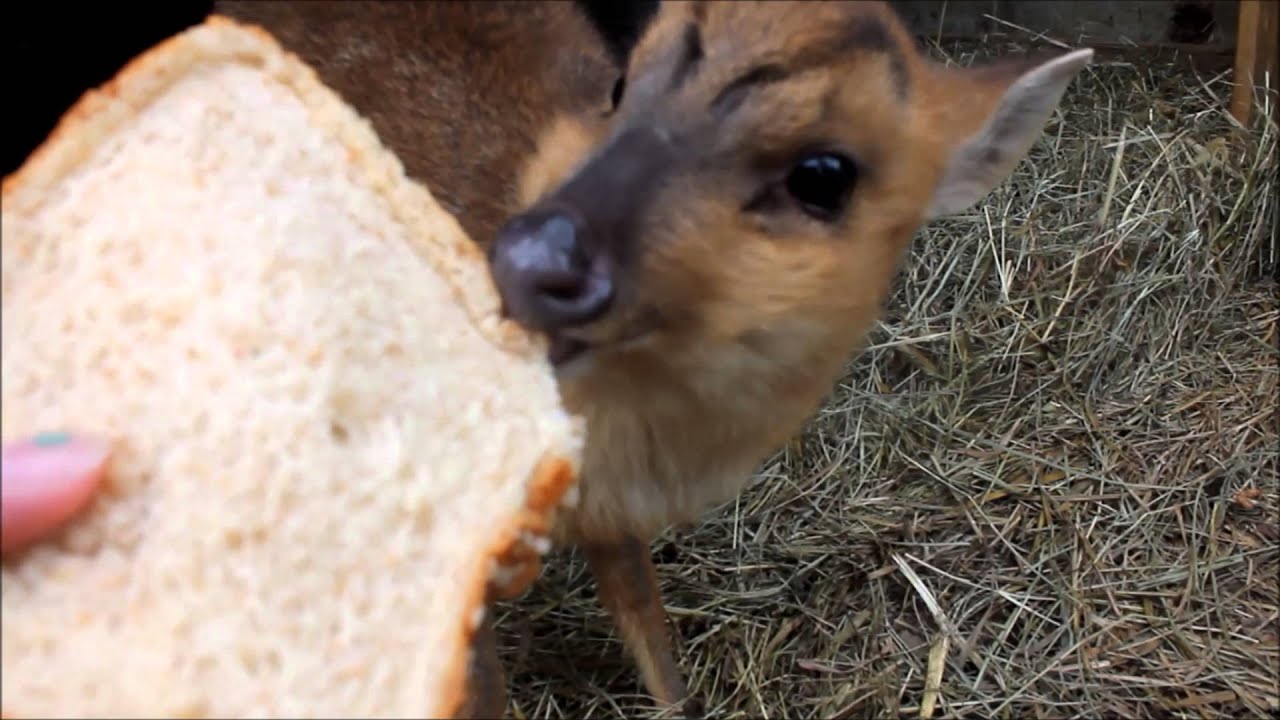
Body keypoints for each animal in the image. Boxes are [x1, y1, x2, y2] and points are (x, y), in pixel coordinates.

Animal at [214, 1, 1093, 716]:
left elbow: (642, 605)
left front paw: (677, 701)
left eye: (824, 174)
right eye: (620, 86)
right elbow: (479, 683)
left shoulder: (608, 510)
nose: (530, 258)